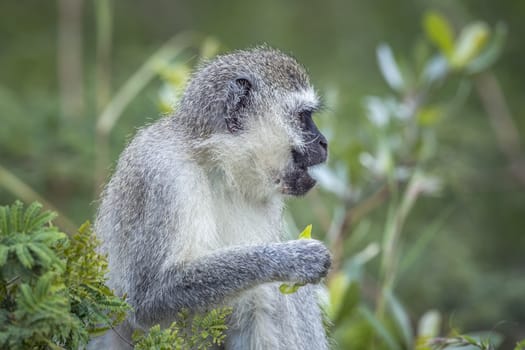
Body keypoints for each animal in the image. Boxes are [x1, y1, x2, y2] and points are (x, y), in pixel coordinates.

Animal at [94, 47, 330, 350]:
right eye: (303, 117)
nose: (324, 142)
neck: (218, 167)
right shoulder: (163, 175)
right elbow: (148, 297)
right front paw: (290, 259)